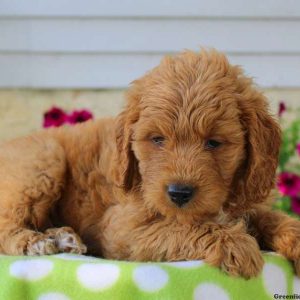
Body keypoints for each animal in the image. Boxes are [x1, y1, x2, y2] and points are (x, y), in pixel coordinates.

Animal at [0, 49, 300, 278]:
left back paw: (63, 237)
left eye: (214, 142)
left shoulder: (248, 202)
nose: (179, 193)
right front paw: (234, 243)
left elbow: (272, 218)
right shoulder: (121, 229)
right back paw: (37, 242)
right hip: (44, 160)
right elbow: (179, 227)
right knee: (5, 225)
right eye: (157, 139)